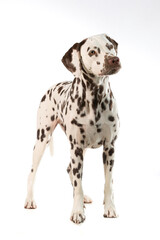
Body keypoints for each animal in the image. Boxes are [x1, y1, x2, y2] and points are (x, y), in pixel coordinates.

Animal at [24, 32, 120, 224]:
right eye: (92, 52)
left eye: (110, 46)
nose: (114, 59)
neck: (95, 101)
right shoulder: (75, 148)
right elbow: (77, 184)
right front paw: (77, 211)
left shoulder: (109, 148)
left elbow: (108, 183)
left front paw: (109, 208)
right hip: (42, 141)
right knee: (32, 172)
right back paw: (30, 199)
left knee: (70, 170)